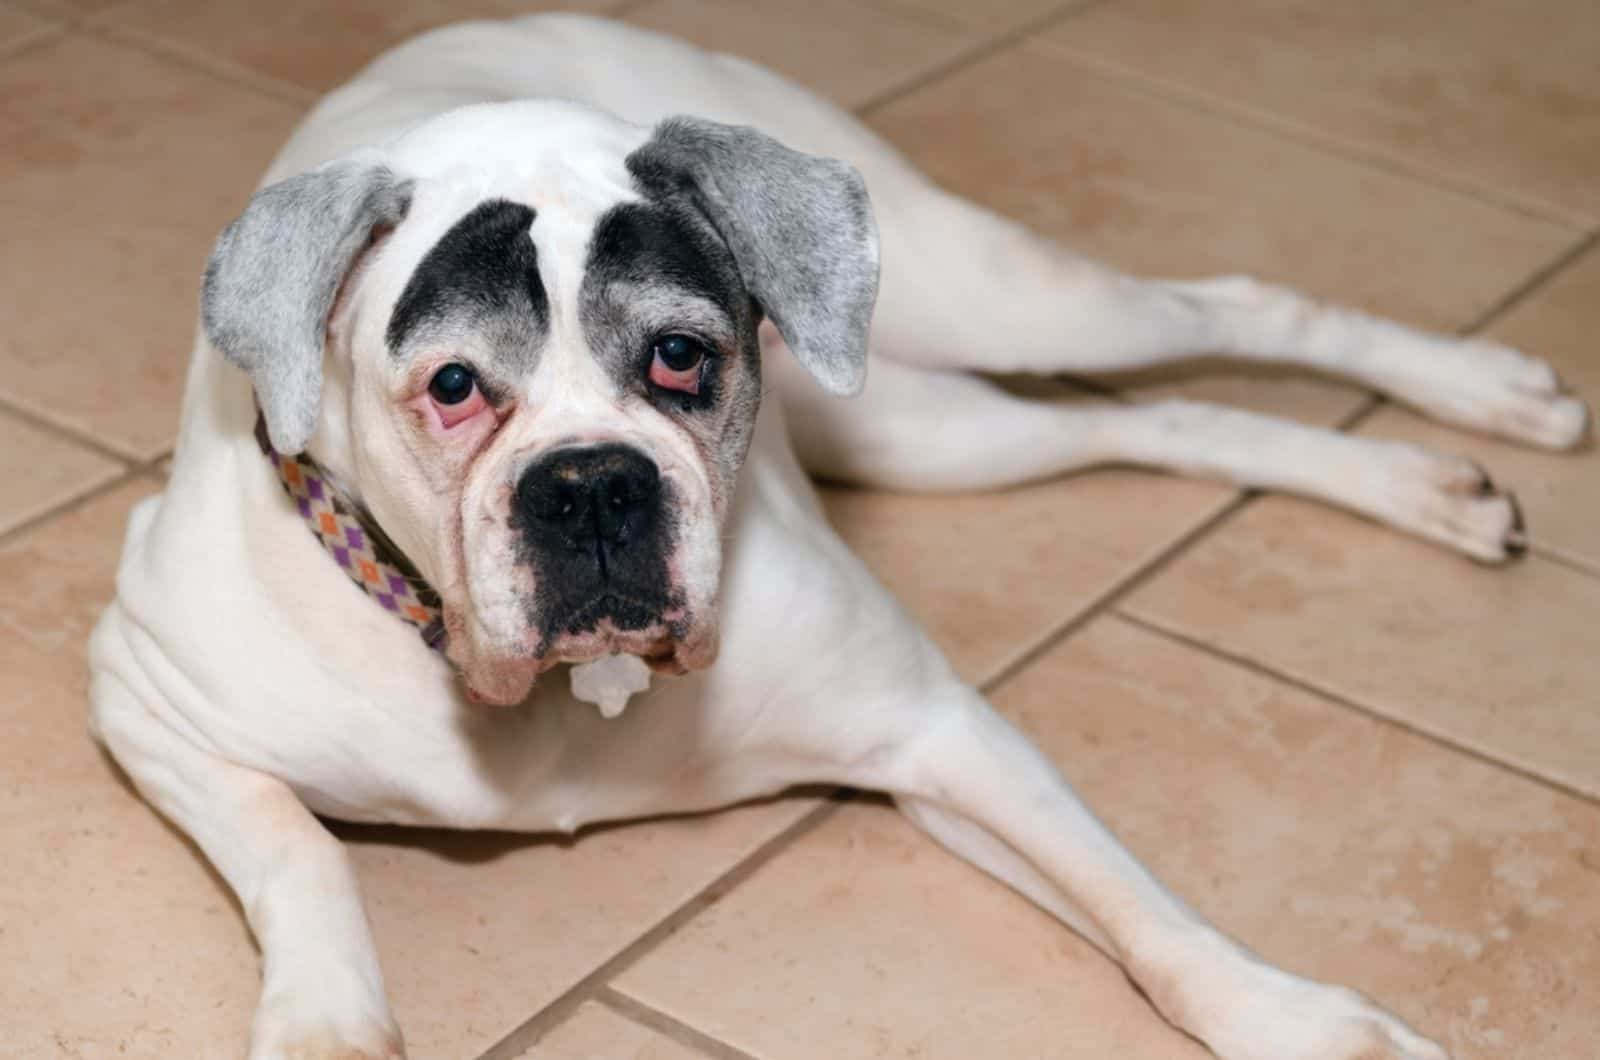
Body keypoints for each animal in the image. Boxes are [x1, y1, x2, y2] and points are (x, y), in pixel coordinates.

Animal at [87, 14, 1587, 1060]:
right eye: (454, 386)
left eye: (682, 356)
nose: (591, 487)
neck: (574, 699)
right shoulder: (147, 700)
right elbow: (303, 854)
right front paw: (326, 1023)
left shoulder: (937, 737)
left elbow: (1143, 916)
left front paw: (1297, 1021)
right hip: (935, 428)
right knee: (1157, 422)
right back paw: (1421, 484)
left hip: (997, 300)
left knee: (1242, 314)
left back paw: (1482, 394)